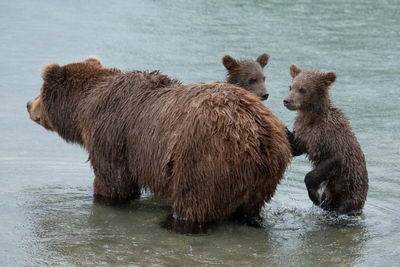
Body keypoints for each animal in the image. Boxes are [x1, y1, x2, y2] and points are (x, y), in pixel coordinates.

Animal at [28, 57, 290, 233]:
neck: (85, 109)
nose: (28, 104)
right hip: (265, 177)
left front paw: (102, 197)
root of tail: (262, 135)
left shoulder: (111, 134)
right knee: (251, 208)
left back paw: (173, 222)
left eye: (40, 91)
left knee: (194, 201)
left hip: (207, 156)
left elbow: (114, 182)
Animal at [284, 64, 368, 216]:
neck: (312, 118)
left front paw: (315, 196)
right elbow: (296, 147)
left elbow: (326, 164)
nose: (287, 101)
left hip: (351, 194)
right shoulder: (305, 135)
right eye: (290, 86)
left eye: (302, 89)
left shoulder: (329, 139)